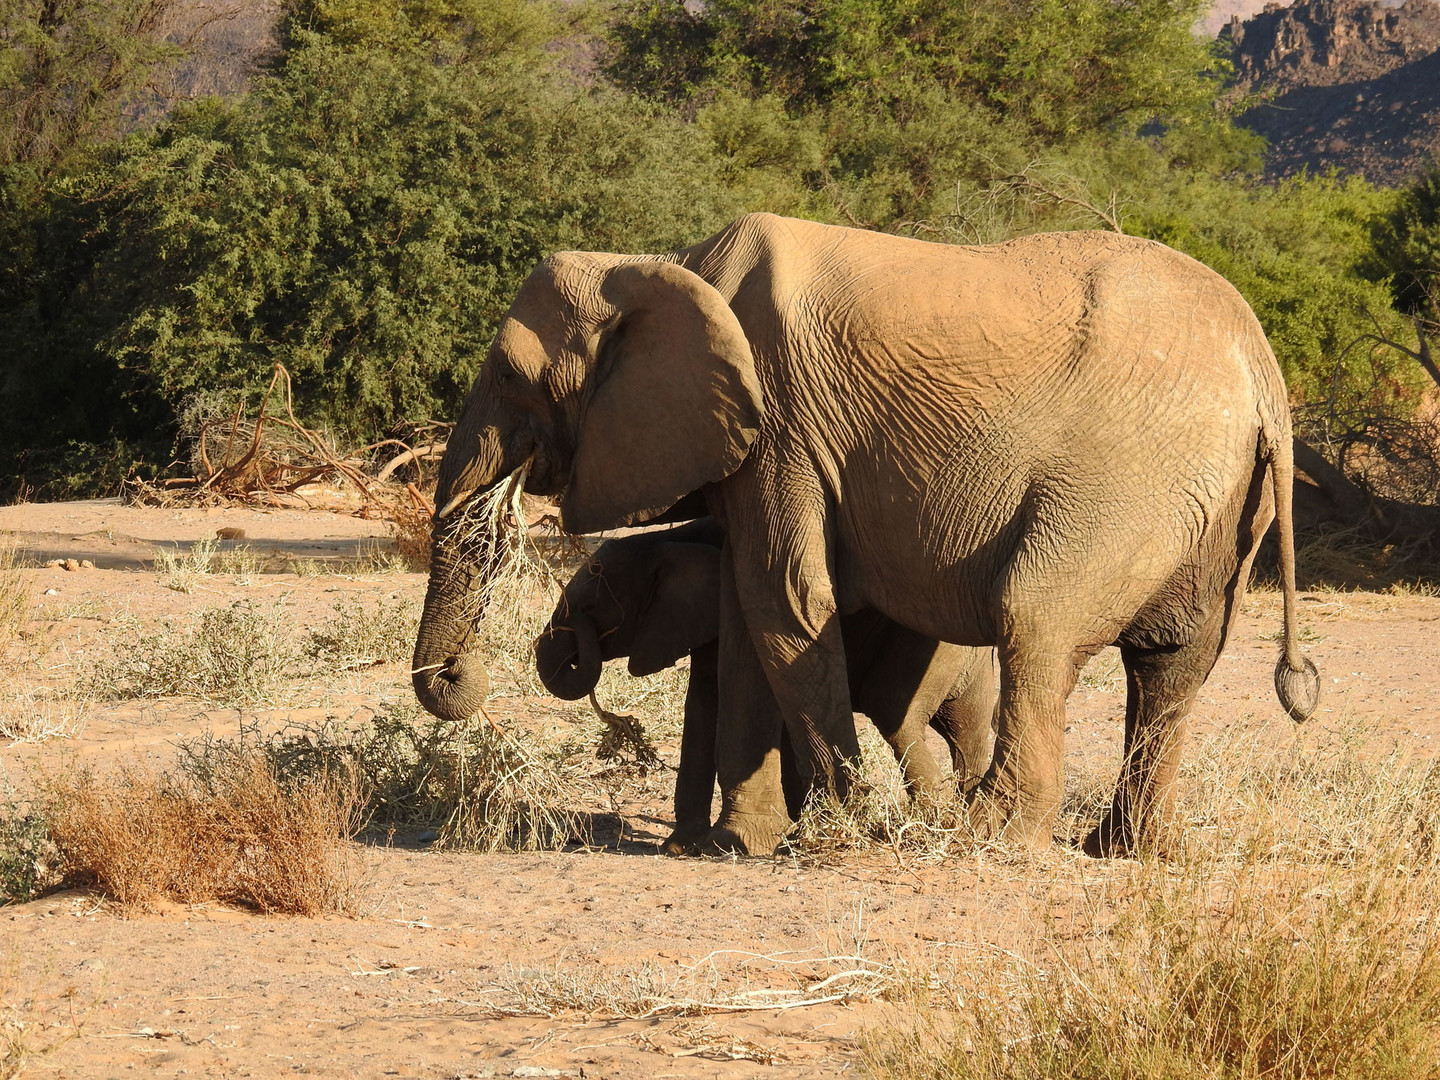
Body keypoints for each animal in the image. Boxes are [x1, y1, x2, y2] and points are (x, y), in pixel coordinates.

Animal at [535, 518, 996, 852]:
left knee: (898, 717)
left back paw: (938, 823)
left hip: (924, 642)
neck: (664, 541)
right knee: (967, 731)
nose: (617, 722)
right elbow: (702, 703)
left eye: (592, 606)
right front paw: (679, 848)